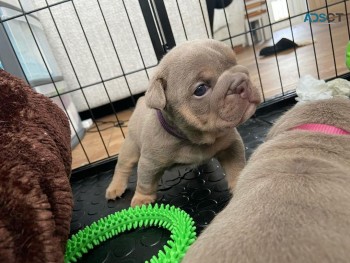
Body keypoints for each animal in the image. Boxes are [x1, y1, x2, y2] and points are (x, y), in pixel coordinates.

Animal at [105, 39, 262, 208]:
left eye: (234, 63)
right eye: (200, 89)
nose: (241, 81)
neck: (194, 137)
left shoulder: (231, 145)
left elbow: (236, 167)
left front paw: (240, 183)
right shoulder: (150, 163)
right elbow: (145, 181)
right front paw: (142, 199)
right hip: (131, 147)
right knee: (123, 167)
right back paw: (115, 187)